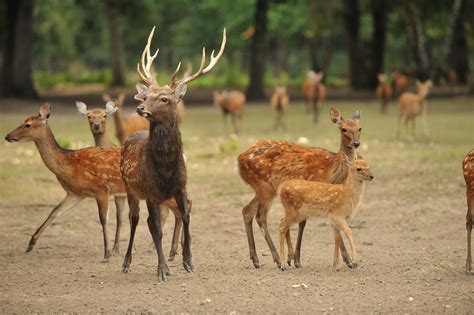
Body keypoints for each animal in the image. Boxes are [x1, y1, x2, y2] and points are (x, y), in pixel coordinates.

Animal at [121, 27, 227, 282]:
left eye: (164, 98)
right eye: (146, 96)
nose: (140, 108)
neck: (166, 168)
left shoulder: (181, 186)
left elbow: (186, 215)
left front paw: (188, 261)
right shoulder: (150, 191)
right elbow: (156, 228)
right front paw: (162, 270)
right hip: (130, 188)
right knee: (136, 219)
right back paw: (126, 262)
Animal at [239, 108, 362, 270]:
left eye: (360, 128)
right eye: (344, 129)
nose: (357, 143)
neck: (331, 172)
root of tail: (239, 161)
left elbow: (305, 223)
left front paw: (295, 259)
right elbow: (305, 223)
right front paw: (349, 261)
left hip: (263, 188)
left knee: (247, 211)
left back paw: (256, 259)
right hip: (264, 187)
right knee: (260, 216)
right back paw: (277, 259)